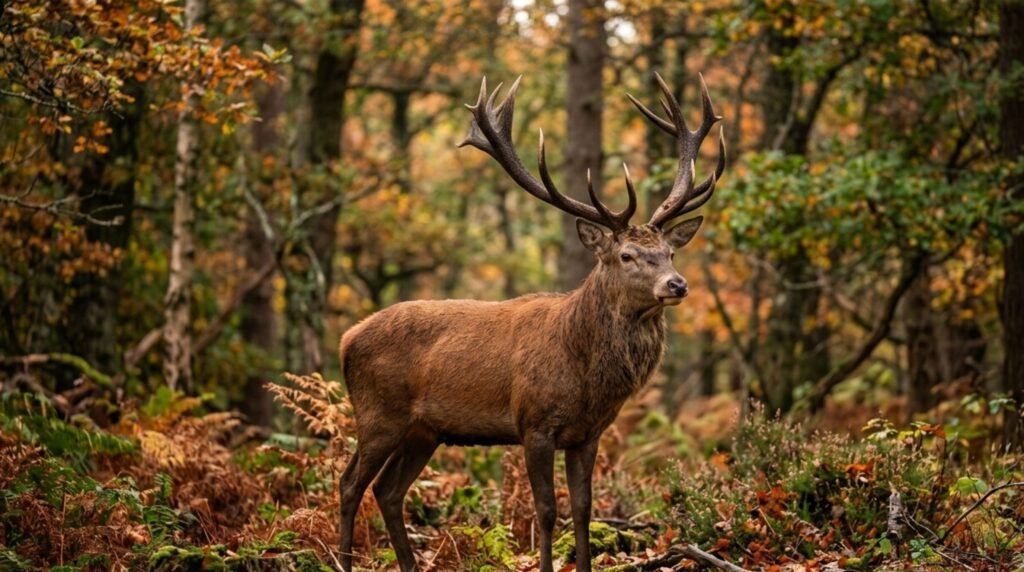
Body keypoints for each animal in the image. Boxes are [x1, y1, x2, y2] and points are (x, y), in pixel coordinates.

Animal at [336, 72, 725, 572]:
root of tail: (347, 339)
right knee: (350, 483)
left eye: (670, 252)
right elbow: (546, 509)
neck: (585, 374)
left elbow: (583, 508)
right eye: (627, 255)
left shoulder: (588, 434)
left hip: (423, 432)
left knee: (388, 490)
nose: (677, 285)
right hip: (378, 414)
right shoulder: (534, 423)